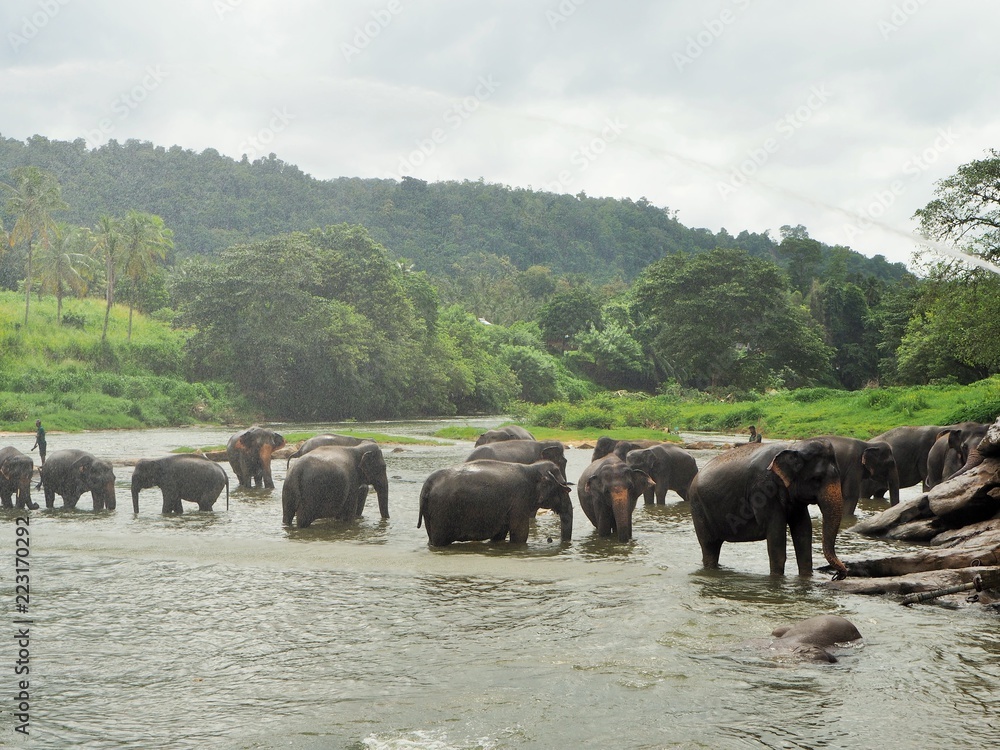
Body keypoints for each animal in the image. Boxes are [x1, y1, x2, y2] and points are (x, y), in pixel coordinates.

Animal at [417, 459, 573, 546]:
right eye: (565, 488)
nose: (550, 539)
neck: (532, 467)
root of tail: (426, 485)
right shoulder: (519, 500)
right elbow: (520, 534)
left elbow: (500, 535)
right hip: (441, 512)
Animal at [688, 439, 847, 578]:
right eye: (816, 478)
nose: (841, 574)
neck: (793, 446)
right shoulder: (762, 491)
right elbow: (776, 534)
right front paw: (776, 579)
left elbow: (803, 529)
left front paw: (806, 578)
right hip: (698, 509)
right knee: (709, 547)